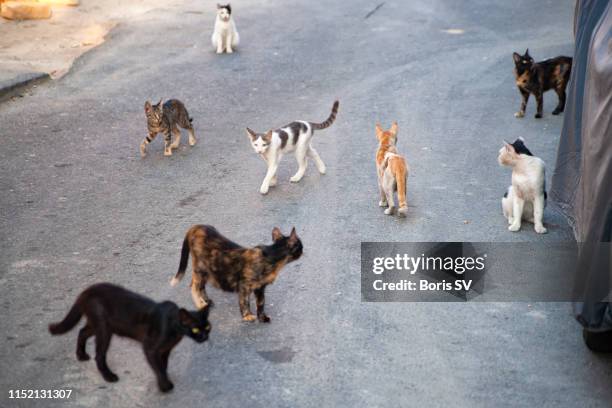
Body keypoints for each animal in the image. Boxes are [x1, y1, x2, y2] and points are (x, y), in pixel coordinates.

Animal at [48, 284, 210, 392]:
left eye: (208, 327)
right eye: (195, 329)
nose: (204, 337)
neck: (174, 329)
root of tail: (88, 290)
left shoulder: (165, 350)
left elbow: (163, 366)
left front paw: (164, 380)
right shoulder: (150, 348)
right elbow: (158, 367)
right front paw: (164, 386)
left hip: (99, 326)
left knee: (82, 331)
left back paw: (81, 355)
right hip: (104, 329)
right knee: (99, 355)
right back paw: (109, 376)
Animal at [170, 226, 304, 322]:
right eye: (300, 246)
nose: (304, 251)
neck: (270, 256)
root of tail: (195, 227)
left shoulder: (260, 288)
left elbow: (261, 303)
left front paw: (262, 317)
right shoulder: (244, 285)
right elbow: (244, 301)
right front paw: (247, 316)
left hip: (206, 271)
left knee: (197, 284)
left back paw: (207, 301)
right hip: (201, 269)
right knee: (193, 286)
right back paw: (200, 304)